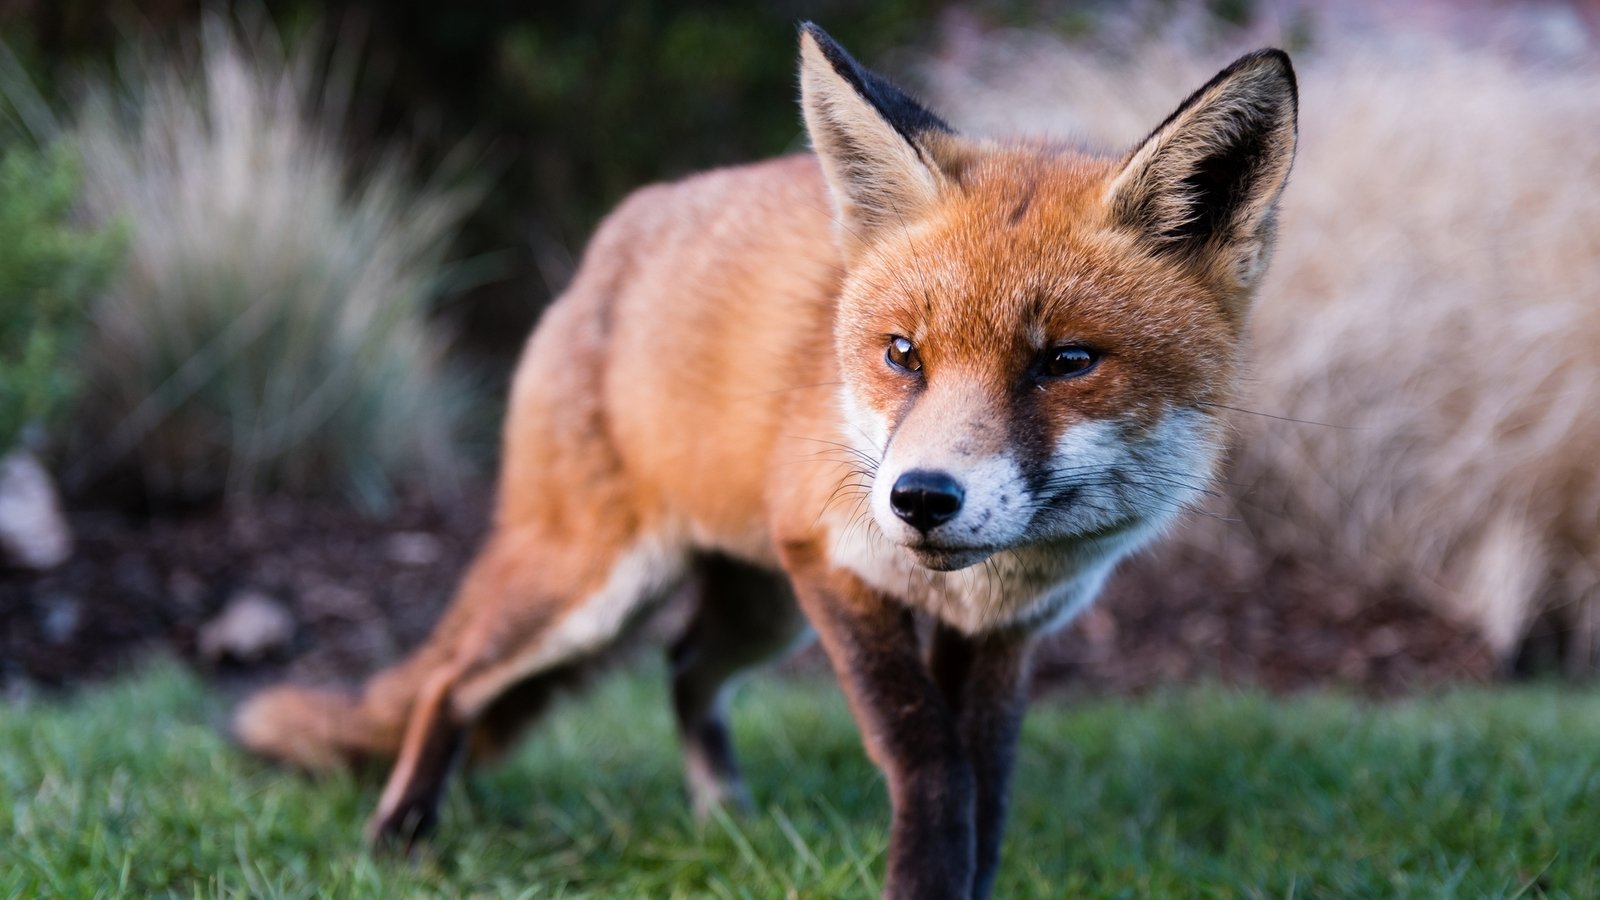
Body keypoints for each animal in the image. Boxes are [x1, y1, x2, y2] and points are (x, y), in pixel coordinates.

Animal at [233, 22, 1299, 896]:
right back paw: (400, 835)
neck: (979, 586)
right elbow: (930, 766)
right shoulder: (833, 562)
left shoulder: (1008, 633)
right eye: (903, 354)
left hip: (756, 610)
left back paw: (723, 819)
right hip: (597, 585)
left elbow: (986, 787)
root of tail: (609, 242)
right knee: (452, 677)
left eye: (1067, 362)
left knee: (683, 666)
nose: (920, 499)